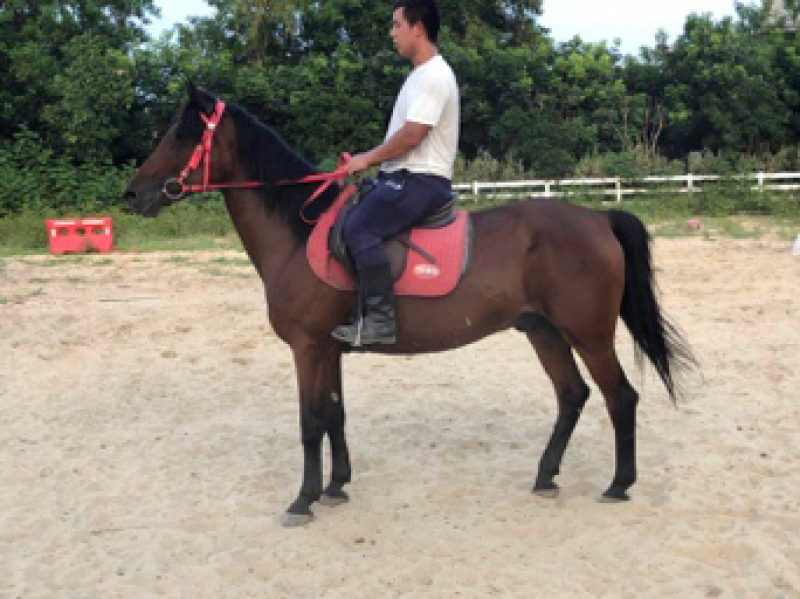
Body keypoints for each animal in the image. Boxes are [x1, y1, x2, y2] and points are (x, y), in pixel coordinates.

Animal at [124, 85, 694, 527]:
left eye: (181, 135)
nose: (133, 194)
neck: (298, 234)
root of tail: (599, 218)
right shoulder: (329, 349)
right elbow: (335, 414)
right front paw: (336, 487)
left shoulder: (307, 347)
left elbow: (310, 422)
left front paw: (303, 500)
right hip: (543, 330)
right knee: (573, 395)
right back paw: (545, 476)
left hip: (588, 334)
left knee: (620, 397)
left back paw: (619, 484)